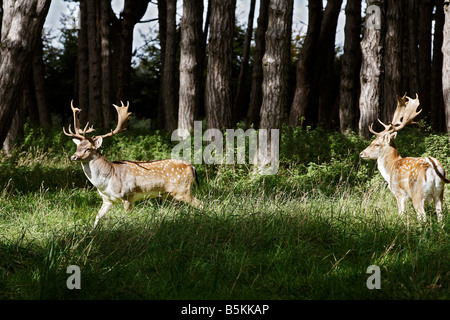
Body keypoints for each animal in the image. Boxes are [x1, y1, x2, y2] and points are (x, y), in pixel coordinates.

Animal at [64, 100, 201, 228]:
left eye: (88, 148)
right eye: (77, 147)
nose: (73, 157)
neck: (106, 181)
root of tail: (192, 167)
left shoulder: (128, 196)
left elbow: (126, 218)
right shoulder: (107, 200)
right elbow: (97, 216)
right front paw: (93, 231)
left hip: (183, 190)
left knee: (200, 203)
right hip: (170, 195)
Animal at [358, 92, 450, 222]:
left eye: (376, 144)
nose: (362, 153)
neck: (390, 168)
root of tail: (433, 167)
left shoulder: (399, 193)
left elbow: (401, 213)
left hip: (417, 193)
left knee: (423, 217)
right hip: (439, 193)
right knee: (440, 215)